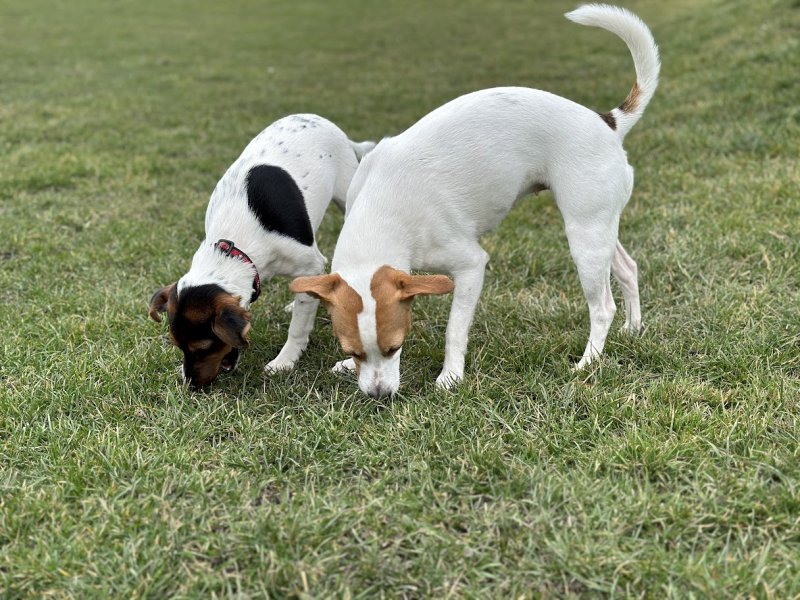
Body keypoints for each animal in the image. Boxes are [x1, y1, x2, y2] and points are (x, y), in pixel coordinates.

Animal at [148, 115, 374, 390]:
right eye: (178, 346)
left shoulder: (311, 264)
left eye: (203, 348)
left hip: (347, 194)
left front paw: (285, 360)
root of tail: (319, 119)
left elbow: (298, 328)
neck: (235, 246)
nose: (190, 384)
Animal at [290, 5, 660, 398]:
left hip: (584, 237)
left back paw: (588, 362)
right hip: (598, 228)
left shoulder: (470, 266)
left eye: (395, 346)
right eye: (353, 350)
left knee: (602, 306)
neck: (383, 209)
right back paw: (632, 329)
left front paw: (450, 377)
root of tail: (607, 122)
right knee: (627, 268)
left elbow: (455, 329)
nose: (379, 394)